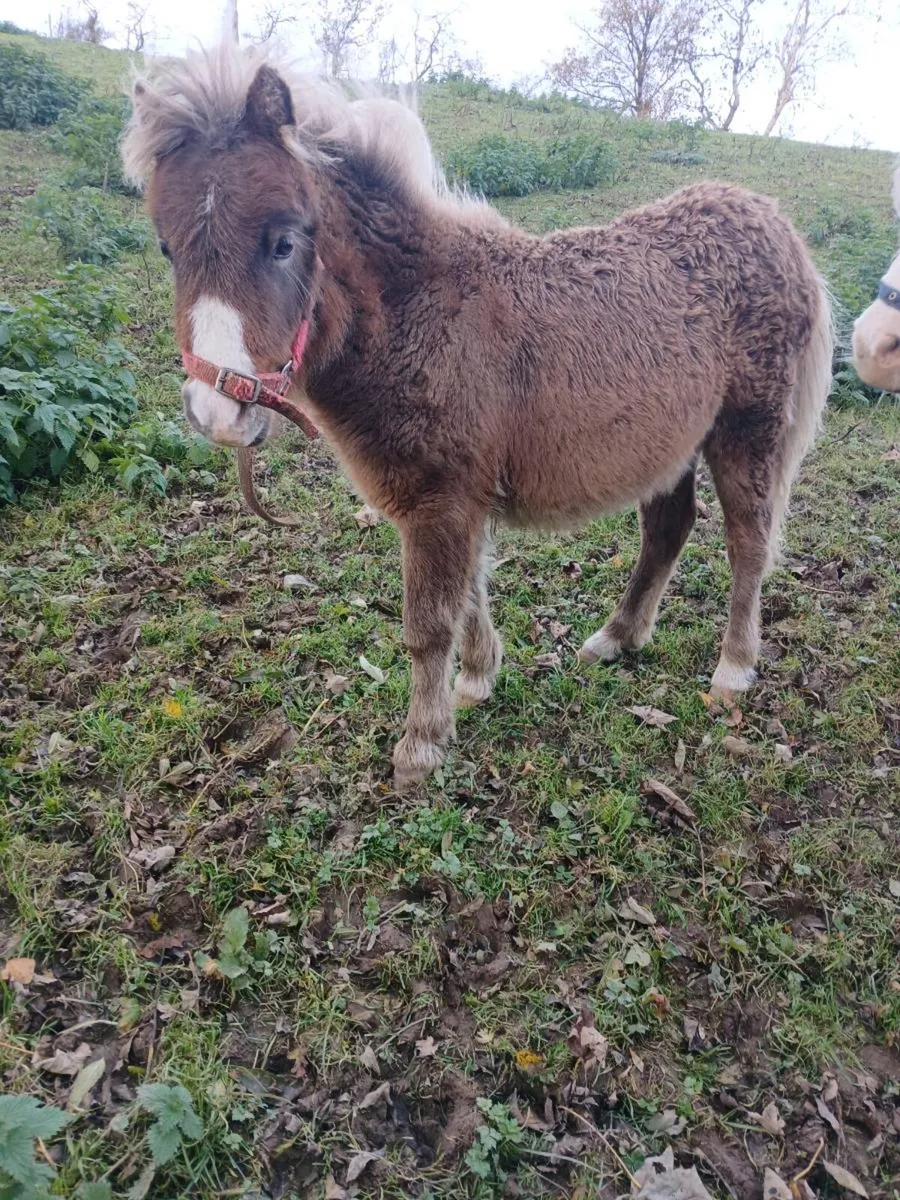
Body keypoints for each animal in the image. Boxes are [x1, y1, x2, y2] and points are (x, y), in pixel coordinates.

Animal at [122, 44, 833, 786]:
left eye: (284, 242)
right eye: (168, 247)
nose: (216, 412)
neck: (419, 313)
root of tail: (776, 225)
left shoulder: (440, 502)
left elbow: (428, 622)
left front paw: (421, 745)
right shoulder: (458, 500)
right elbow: (469, 594)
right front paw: (476, 681)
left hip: (748, 429)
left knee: (749, 542)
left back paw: (732, 672)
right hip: (669, 443)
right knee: (668, 528)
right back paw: (616, 638)